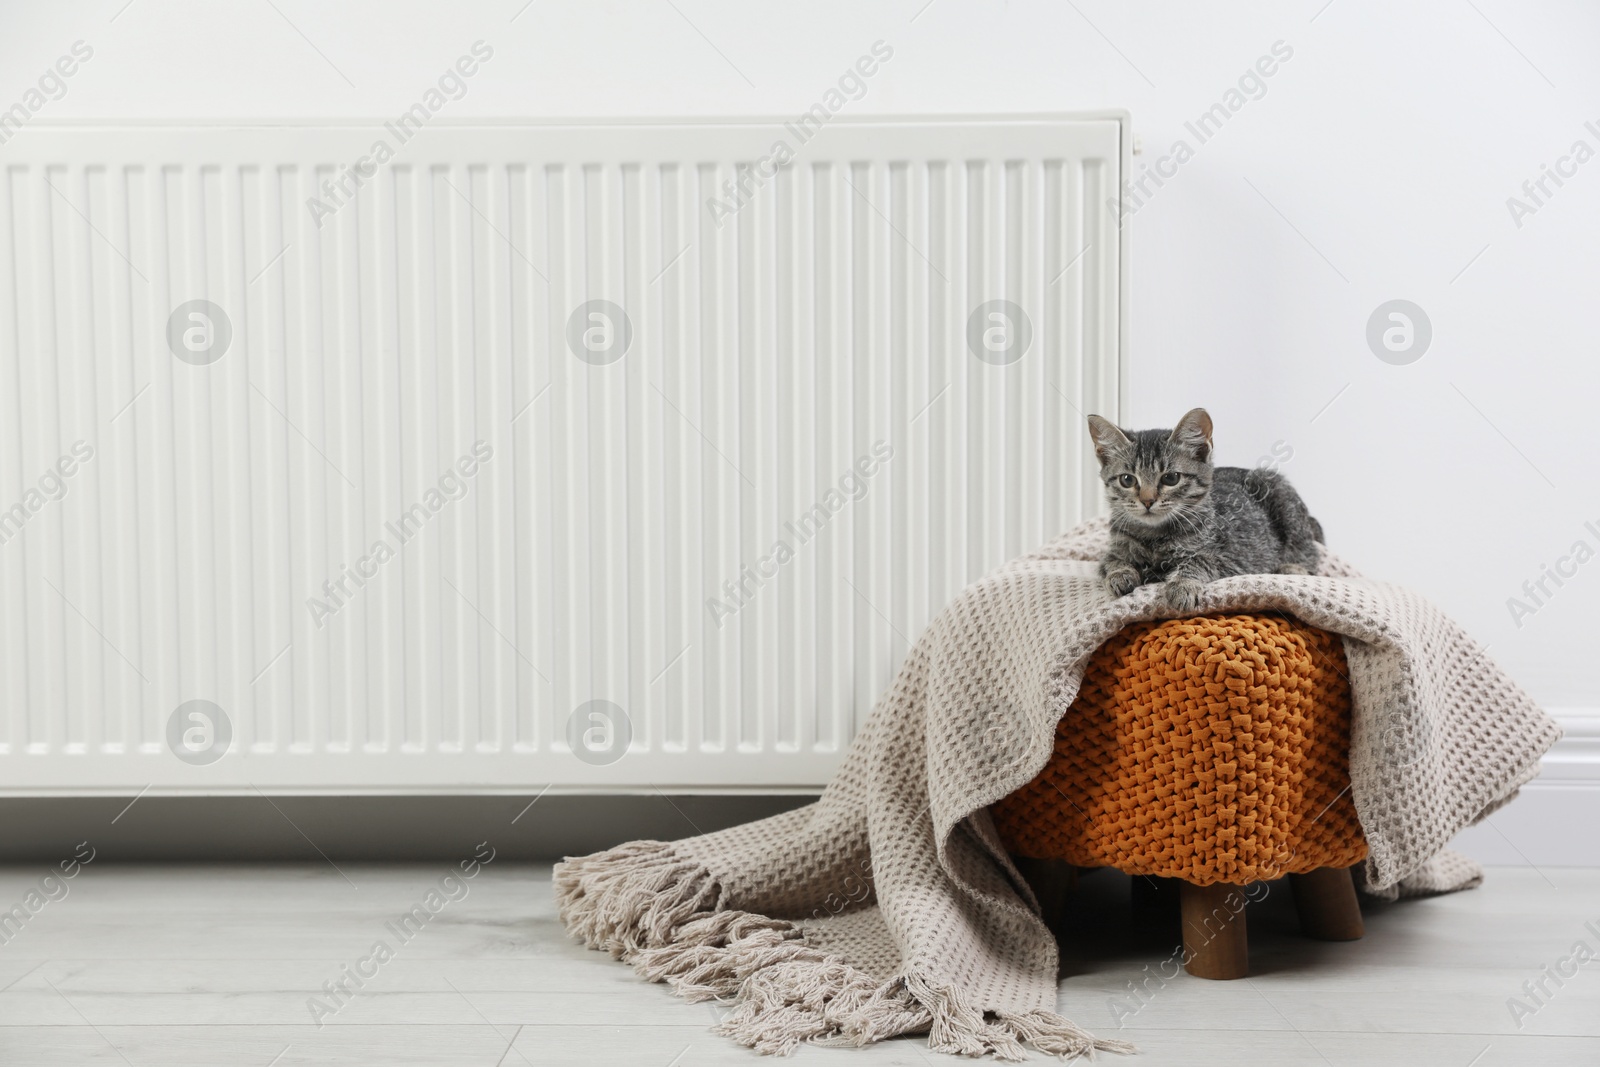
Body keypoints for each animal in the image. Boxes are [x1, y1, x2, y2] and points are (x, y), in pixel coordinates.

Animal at [1088, 406, 1324, 614]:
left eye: (1171, 478)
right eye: (1127, 480)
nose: (1147, 500)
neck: (1153, 535)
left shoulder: (1233, 559)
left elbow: (1199, 559)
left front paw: (1183, 584)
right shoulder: (1114, 547)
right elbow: (1110, 560)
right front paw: (1120, 574)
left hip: (1280, 496)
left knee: (1309, 554)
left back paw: (1292, 568)